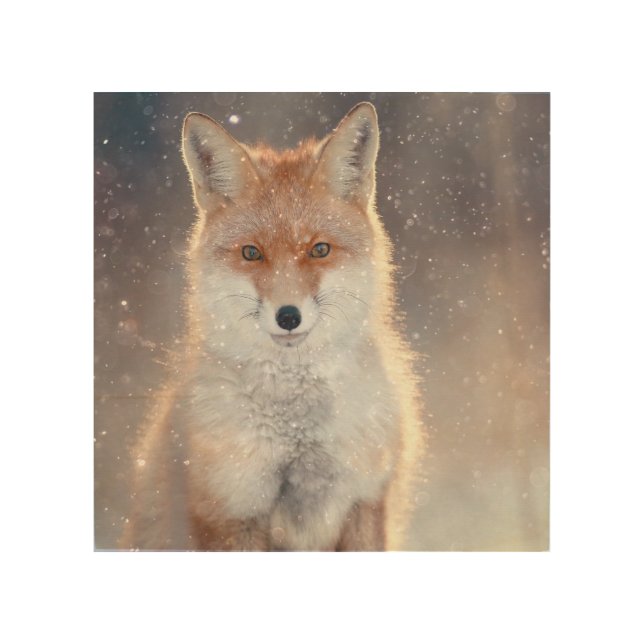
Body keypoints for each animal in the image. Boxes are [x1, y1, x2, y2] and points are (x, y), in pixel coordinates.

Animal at [121, 102, 423, 551]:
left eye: (319, 249)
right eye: (251, 253)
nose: (288, 316)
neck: (297, 432)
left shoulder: (365, 502)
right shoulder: (229, 510)